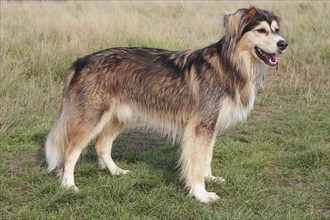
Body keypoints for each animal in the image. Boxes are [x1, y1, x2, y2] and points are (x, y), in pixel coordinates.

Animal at [45, 6, 286, 203]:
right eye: (261, 31)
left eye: (276, 29)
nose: (283, 44)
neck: (230, 64)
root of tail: (81, 61)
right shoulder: (200, 126)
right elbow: (197, 161)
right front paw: (201, 193)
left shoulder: (210, 125)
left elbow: (206, 157)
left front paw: (210, 178)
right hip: (92, 116)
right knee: (71, 150)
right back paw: (68, 185)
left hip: (117, 115)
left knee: (101, 146)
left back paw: (117, 172)